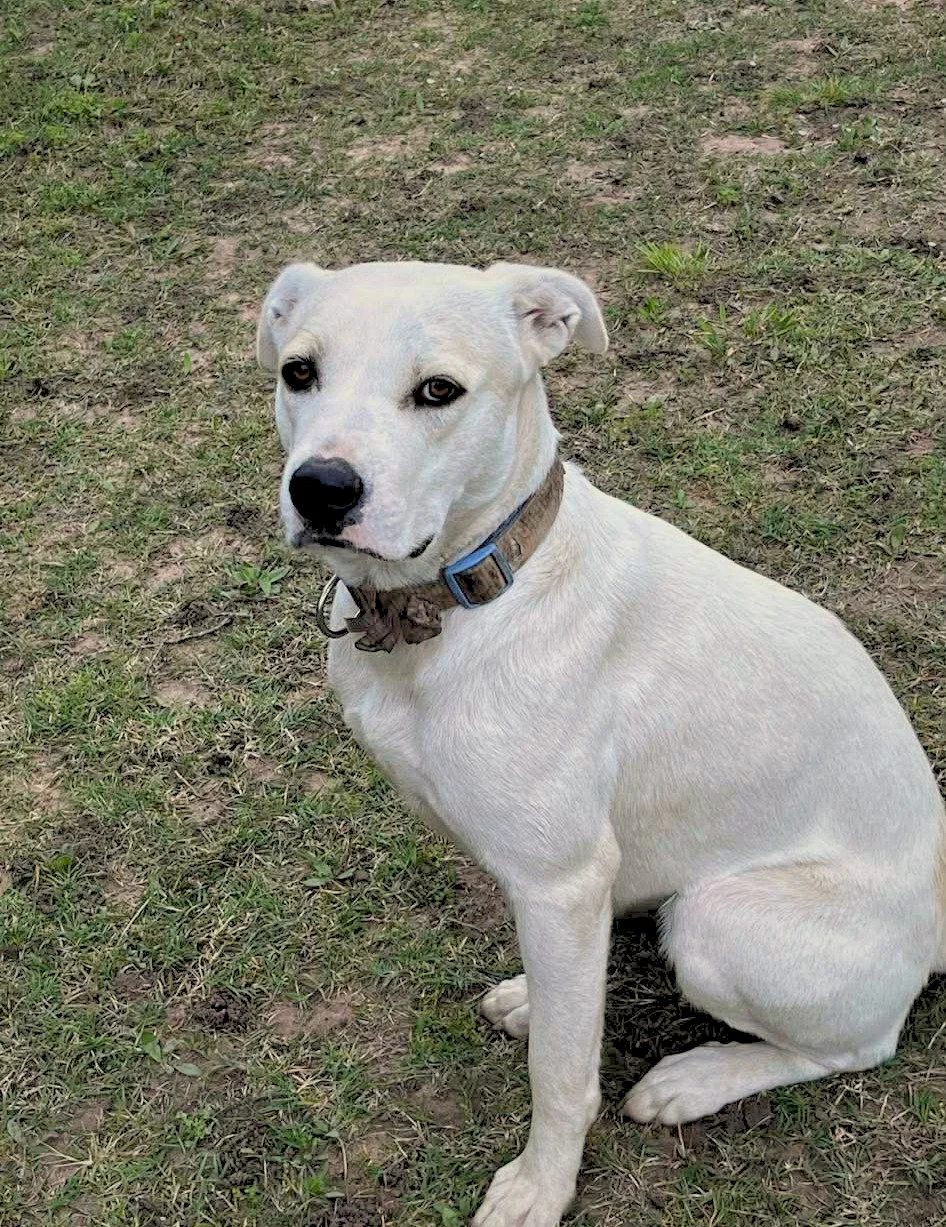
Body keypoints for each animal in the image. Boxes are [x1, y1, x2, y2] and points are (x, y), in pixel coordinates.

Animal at [256, 259, 945, 1227]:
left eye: (438, 390)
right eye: (299, 372)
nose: (321, 488)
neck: (470, 599)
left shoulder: (560, 878)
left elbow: (561, 1073)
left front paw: (541, 1186)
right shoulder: (563, 888)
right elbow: (566, 1013)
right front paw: (538, 1006)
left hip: (719, 919)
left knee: (861, 1044)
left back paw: (695, 1078)